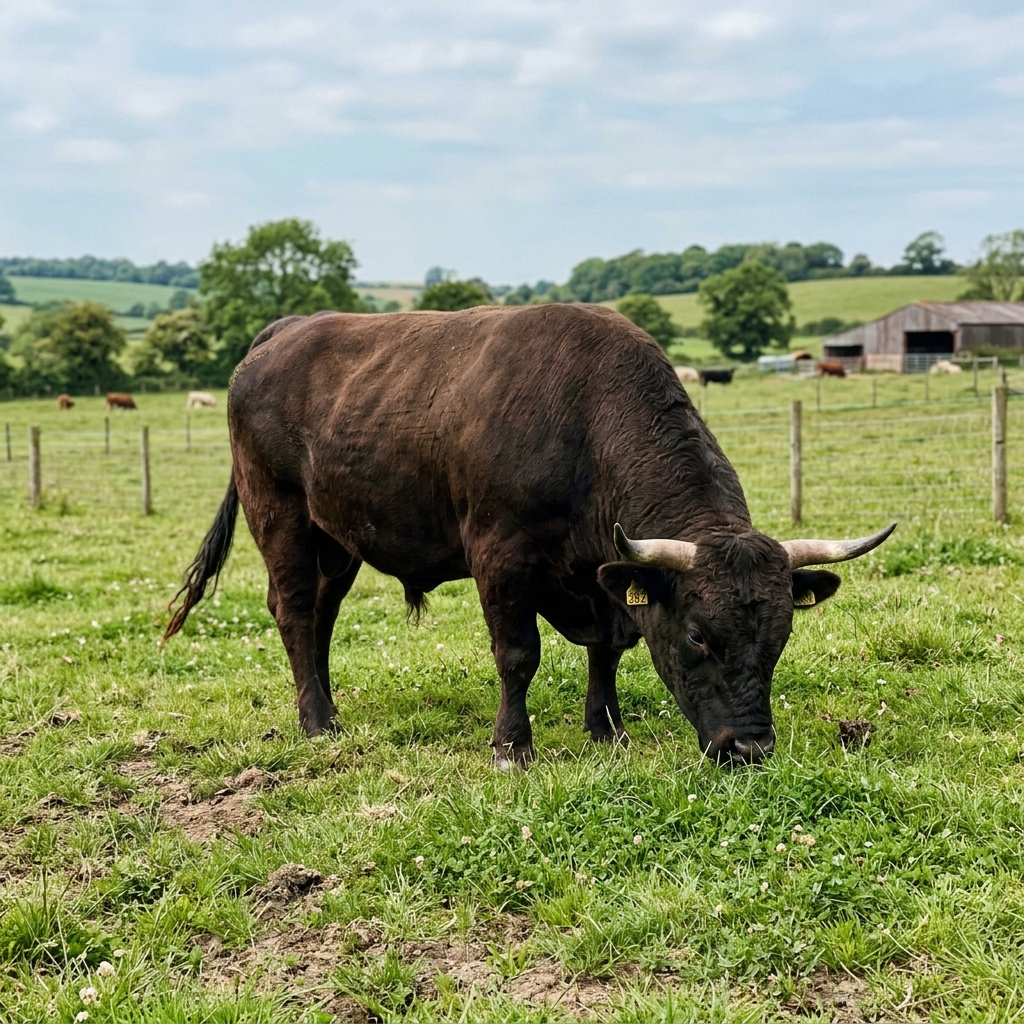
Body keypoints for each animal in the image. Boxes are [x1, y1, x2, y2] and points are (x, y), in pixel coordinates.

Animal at [164, 306, 895, 768]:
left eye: (780, 636)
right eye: (696, 637)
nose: (748, 749)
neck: (586, 421)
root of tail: (286, 330)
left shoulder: (601, 569)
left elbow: (610, 645)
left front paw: (608, 730)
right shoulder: (500, 556)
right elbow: (518, 654)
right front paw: (512, 747)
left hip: (337, 540)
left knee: (320, 617)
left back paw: (327, 710)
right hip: (280, 517)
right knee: (293, 610)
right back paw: (316, 722)